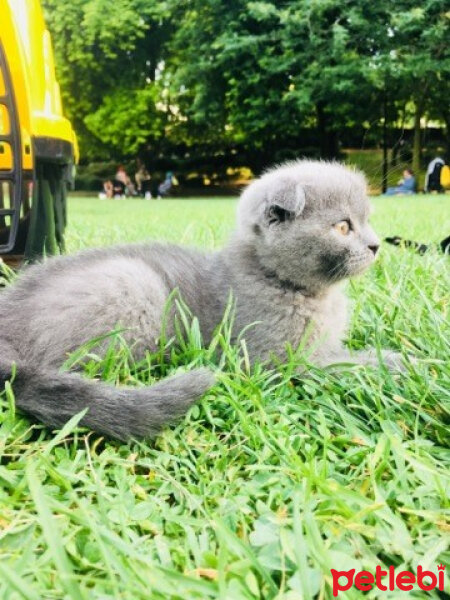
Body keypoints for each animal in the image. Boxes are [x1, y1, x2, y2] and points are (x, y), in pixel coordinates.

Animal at [0, 162, 408, 438]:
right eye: (342, 226)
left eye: (367, 221)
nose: (376, 245)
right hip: (135, 285)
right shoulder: (273, 361)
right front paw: (399, 363)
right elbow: (343, 364)